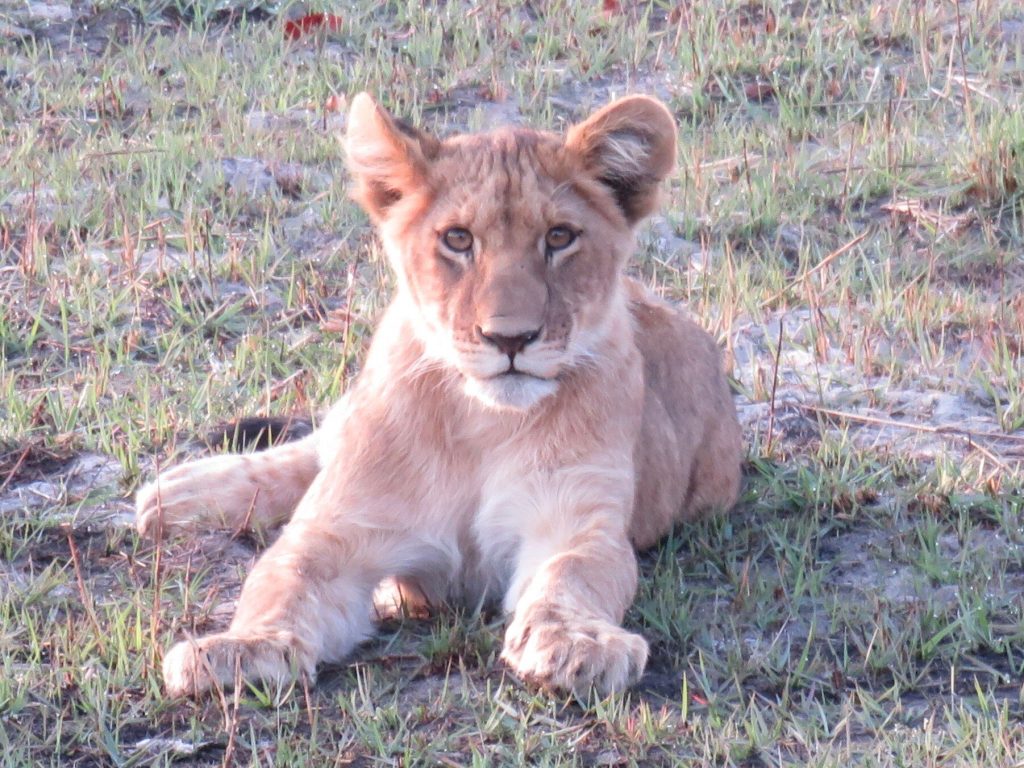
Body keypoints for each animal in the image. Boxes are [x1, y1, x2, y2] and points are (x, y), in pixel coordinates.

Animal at [136, 93, 743, 698]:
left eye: (559, 237)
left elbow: (573, 577)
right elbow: (282, 578)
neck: (484, 422)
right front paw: (243, 649)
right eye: (458, 239)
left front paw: (578, 644)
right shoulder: (341, 527)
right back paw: (176, 494)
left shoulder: (577, 520)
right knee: (314, 448)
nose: (510, 338)